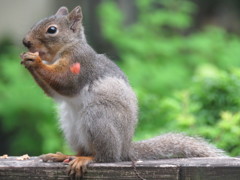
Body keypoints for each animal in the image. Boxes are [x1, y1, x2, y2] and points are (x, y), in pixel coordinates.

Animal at [19, 5, 226, 179]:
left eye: (52, 30)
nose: (25, 42)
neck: (66, 48)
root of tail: (124, 148)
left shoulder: (80, 65)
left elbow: (65, 82)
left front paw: (35, 61)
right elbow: (54, 92)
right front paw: (27, 59)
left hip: (98, 119)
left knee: (105, 157)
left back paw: (87, 159)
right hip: (71, 127)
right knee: (83, 149)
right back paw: (64, 156)